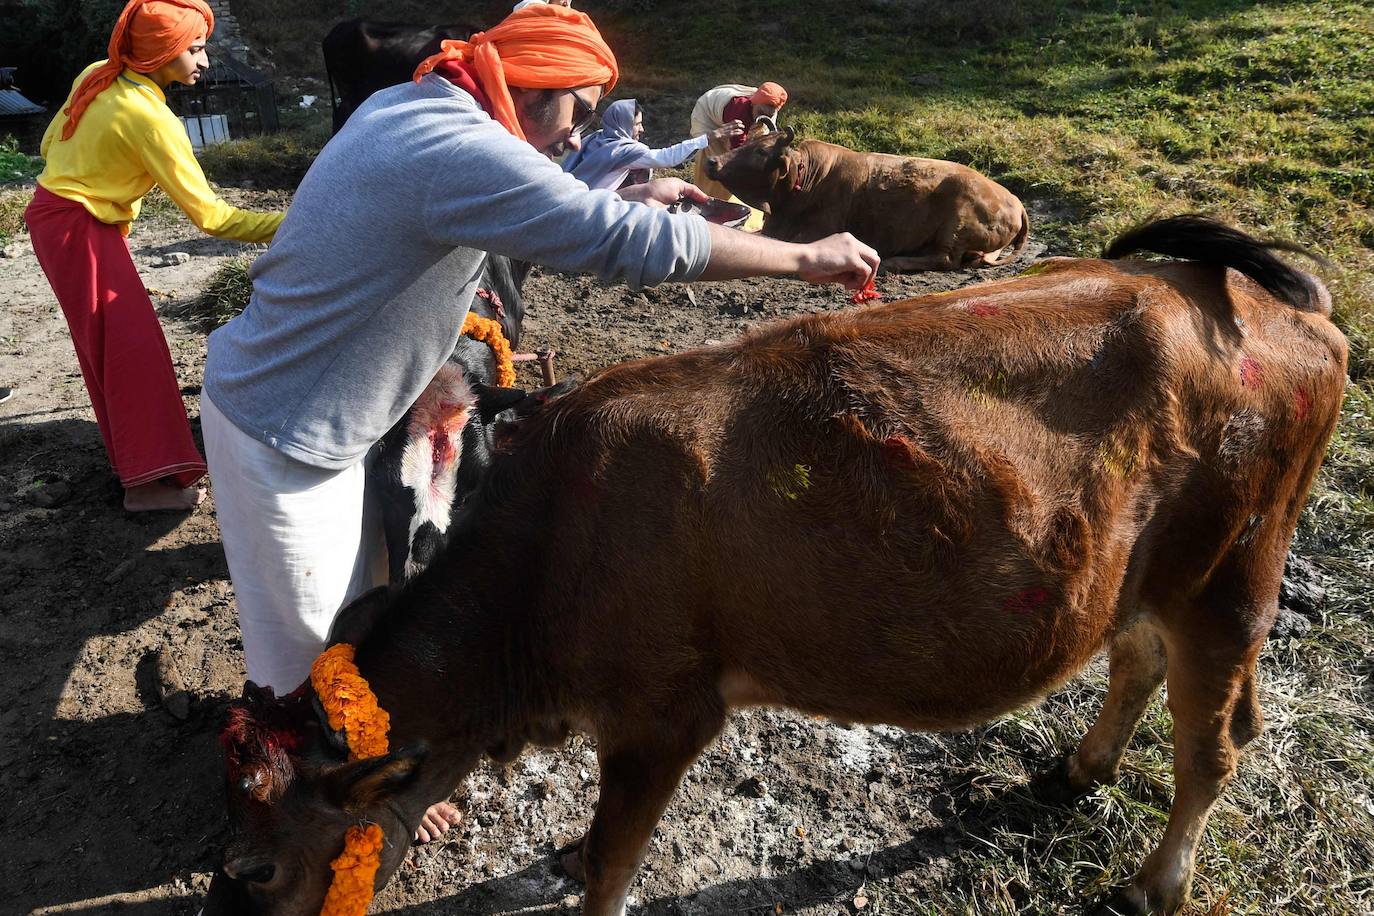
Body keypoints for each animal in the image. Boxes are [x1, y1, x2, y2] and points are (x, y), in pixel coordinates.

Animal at [208, 216, 1346, 916]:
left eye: (259, 867)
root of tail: (1269, 303)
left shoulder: (665, 713)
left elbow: (616, 859)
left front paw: (587, 865)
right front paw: (567, 849)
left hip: (1230, 581)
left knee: (1215, 746)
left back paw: (1155, 883)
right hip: (1141, 576)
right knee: (1137, 660)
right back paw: (1081, 766)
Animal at [703, 125, 1027, 270]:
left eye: (761, 151)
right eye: (750, 141)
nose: (713, 162)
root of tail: (1015, 200)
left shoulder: (815, 231)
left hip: (956, 223)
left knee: (946, 258)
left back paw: (897, 261)